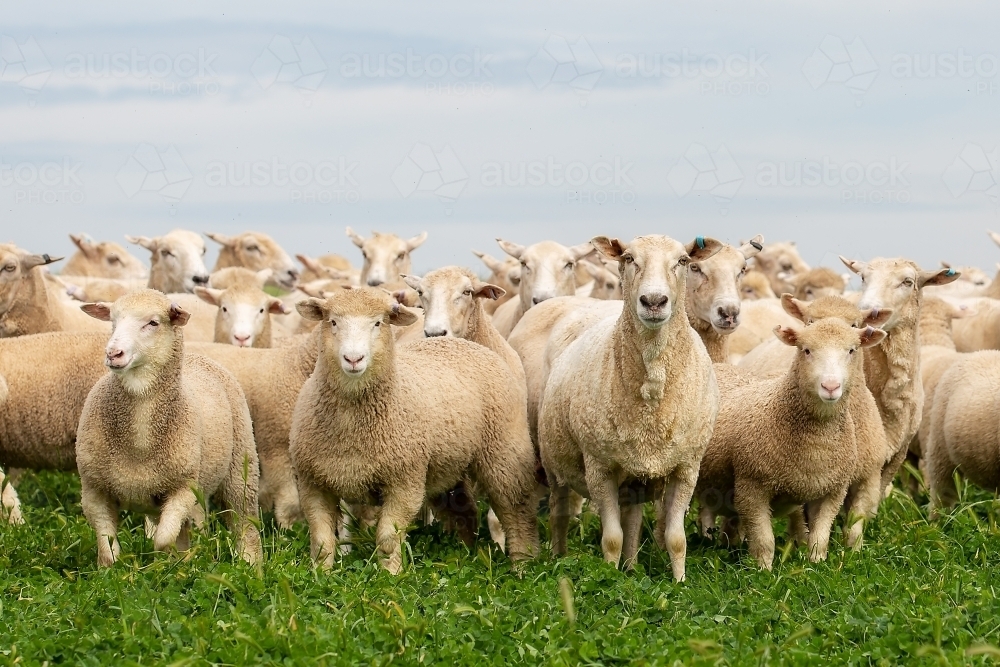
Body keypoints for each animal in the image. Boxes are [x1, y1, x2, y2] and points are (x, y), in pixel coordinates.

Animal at [77, 290, 262, 568]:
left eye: (153, 323)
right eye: (113, 321)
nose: (113, 353)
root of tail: (199, 356)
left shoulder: (184, 487)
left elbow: (163, 540)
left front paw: (163, 564)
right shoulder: (93, 489)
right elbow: (108, 550)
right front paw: (112, 571)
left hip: (241, 468)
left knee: (244, 523)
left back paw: (250, 566)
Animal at [290, 288, 540, 576]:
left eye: (378, 323)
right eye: (332, 322)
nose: (353, 359)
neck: (352, 426)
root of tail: (464, 344)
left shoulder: (405, 480)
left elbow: (388, 538)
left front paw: (391, 576)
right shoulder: (311, 484)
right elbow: (321, 541)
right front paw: (321, 575)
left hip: (504, 451)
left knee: (517, 510)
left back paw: (523, 564)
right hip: (447, 464)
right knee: (464, 511)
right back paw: (467, 555)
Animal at [536, 235, 724, 580]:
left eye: (683, 261)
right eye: (628, 258)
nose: (653, 301)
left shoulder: (687, 468)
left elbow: (675, 539)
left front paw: (679, 581)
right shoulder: (600, 468)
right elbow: (611, 537)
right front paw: (607, 579)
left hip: (636, 478)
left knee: (633, 521)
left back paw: (632, 567)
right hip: (555, 463)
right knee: (559, 513)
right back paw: (558, 557)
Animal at [692, 318, 888, 568]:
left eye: (852, 350)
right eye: (806, 350)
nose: (830, 386)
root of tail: (719, 366)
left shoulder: (832, 491)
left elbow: (820, 537)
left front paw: (816, 564)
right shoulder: (751, 486)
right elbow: (765, 540)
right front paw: (763, 570)